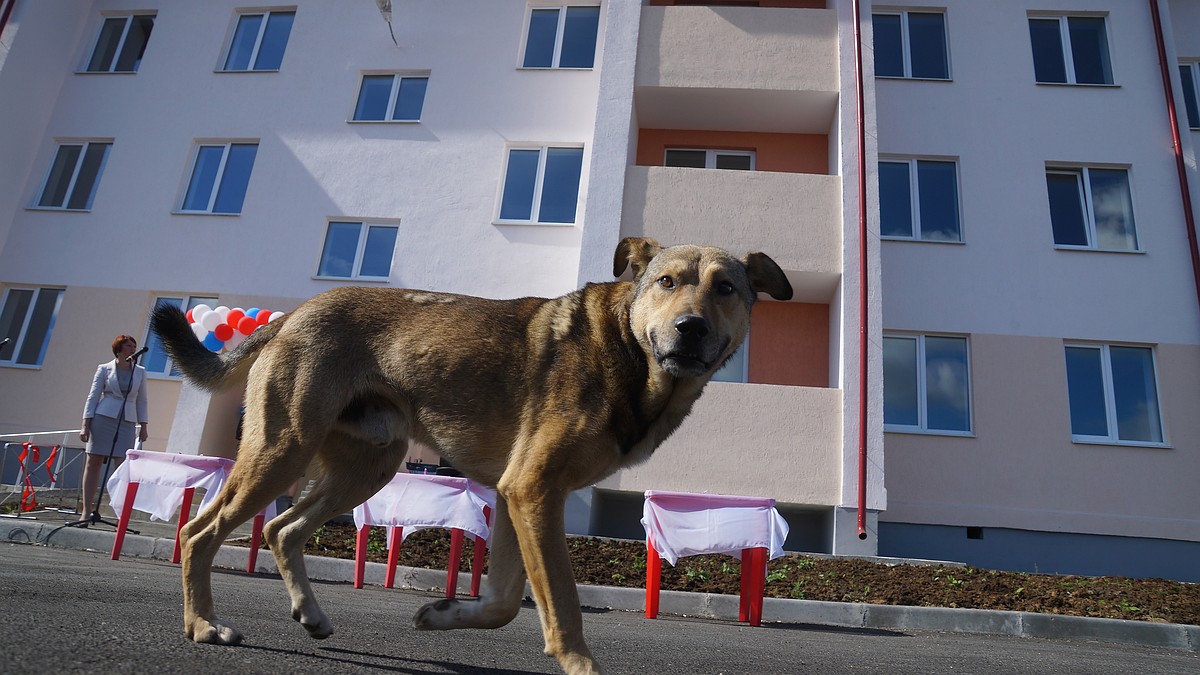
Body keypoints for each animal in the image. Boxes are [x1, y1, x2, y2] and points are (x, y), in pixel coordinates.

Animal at [150, 237, 792, 672]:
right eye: (667, 282)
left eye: (726, 289)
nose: (691, 328)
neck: (626, 349)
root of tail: (289, 316)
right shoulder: (532, 491)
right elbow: (562, 602)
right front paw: (581, 665)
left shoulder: (518, 497)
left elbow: (505, 603)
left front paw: (443, 614)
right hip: (282, 451)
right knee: (199, 532)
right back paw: (203, 625)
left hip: (367, 464)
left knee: (280, 528)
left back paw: (309, 614)